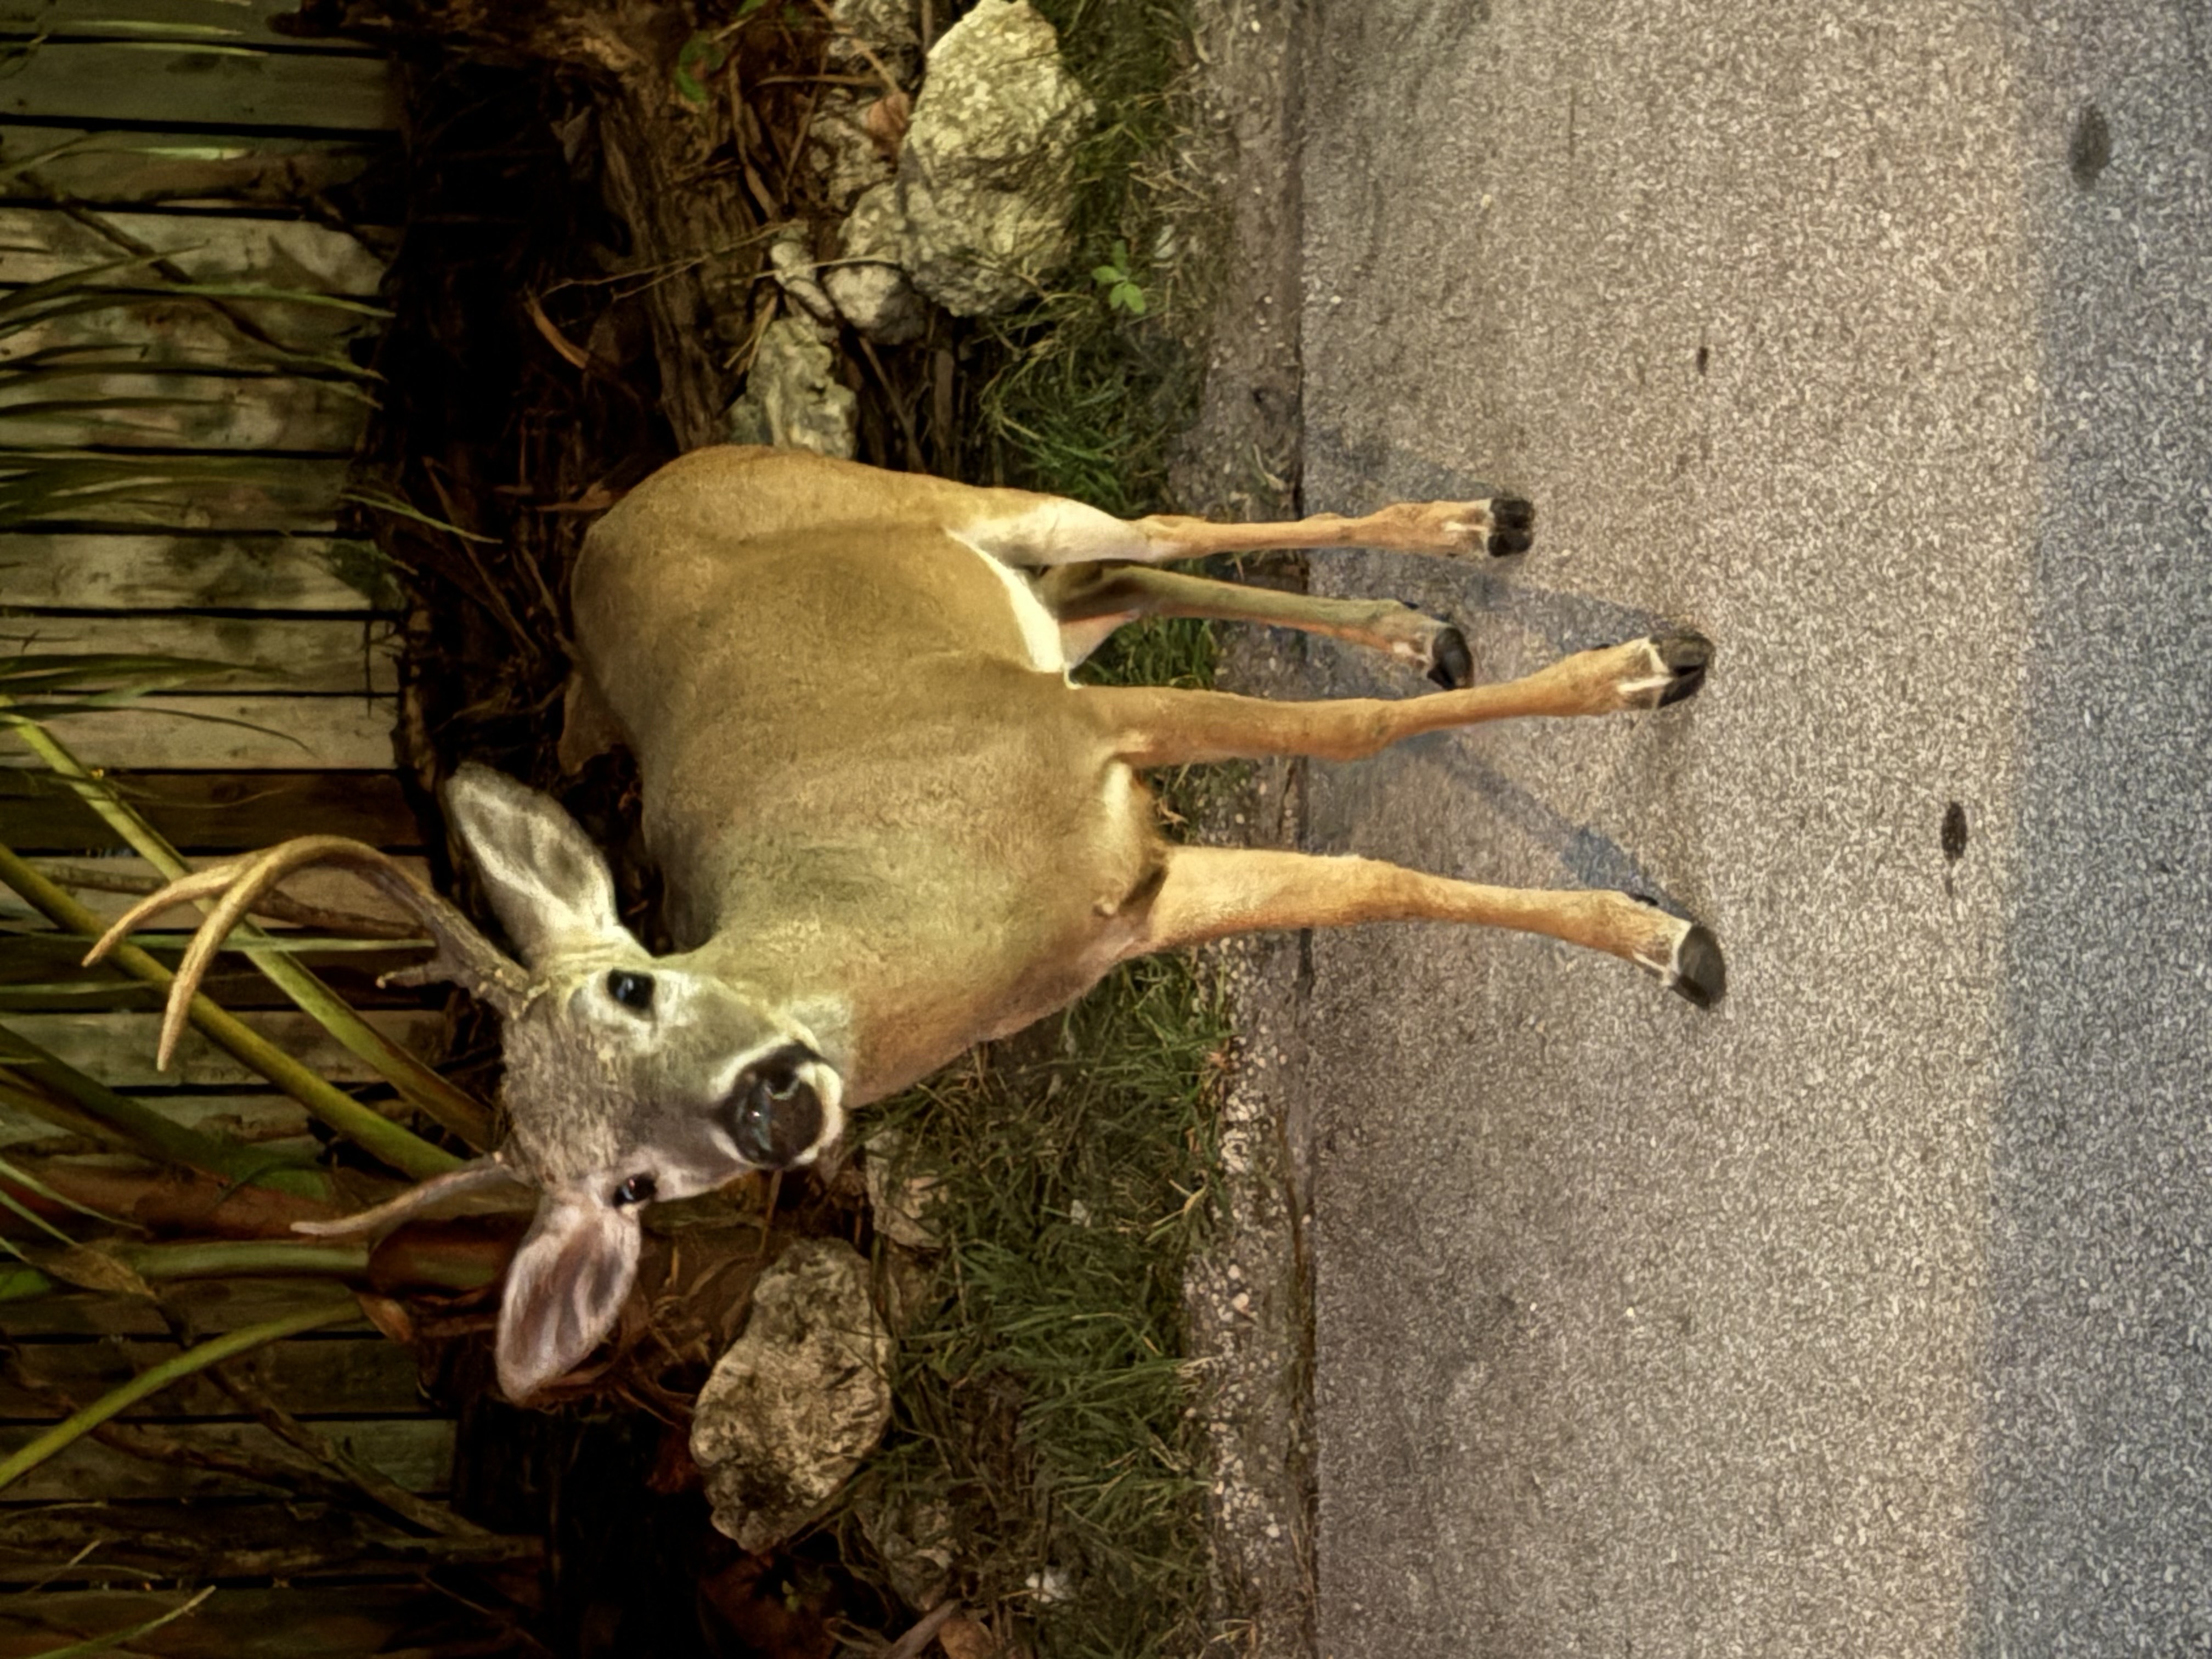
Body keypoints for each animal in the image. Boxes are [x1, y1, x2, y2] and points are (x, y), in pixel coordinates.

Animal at [89, 444, 1722, 1400]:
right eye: (624, 1190)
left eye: (631, 986)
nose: (764, 1106)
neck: (936, 910)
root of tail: (612, 512)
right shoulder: (1129, 904)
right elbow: (1375, 876)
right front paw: (1667, 941)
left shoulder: (1071, 735)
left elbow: (1350, 755)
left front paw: (1642, 674)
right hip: (1040, 609)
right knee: (1129, 565)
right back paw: (1419, 618)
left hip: (945, 500)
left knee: (1160, 518)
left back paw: (1473, 532)